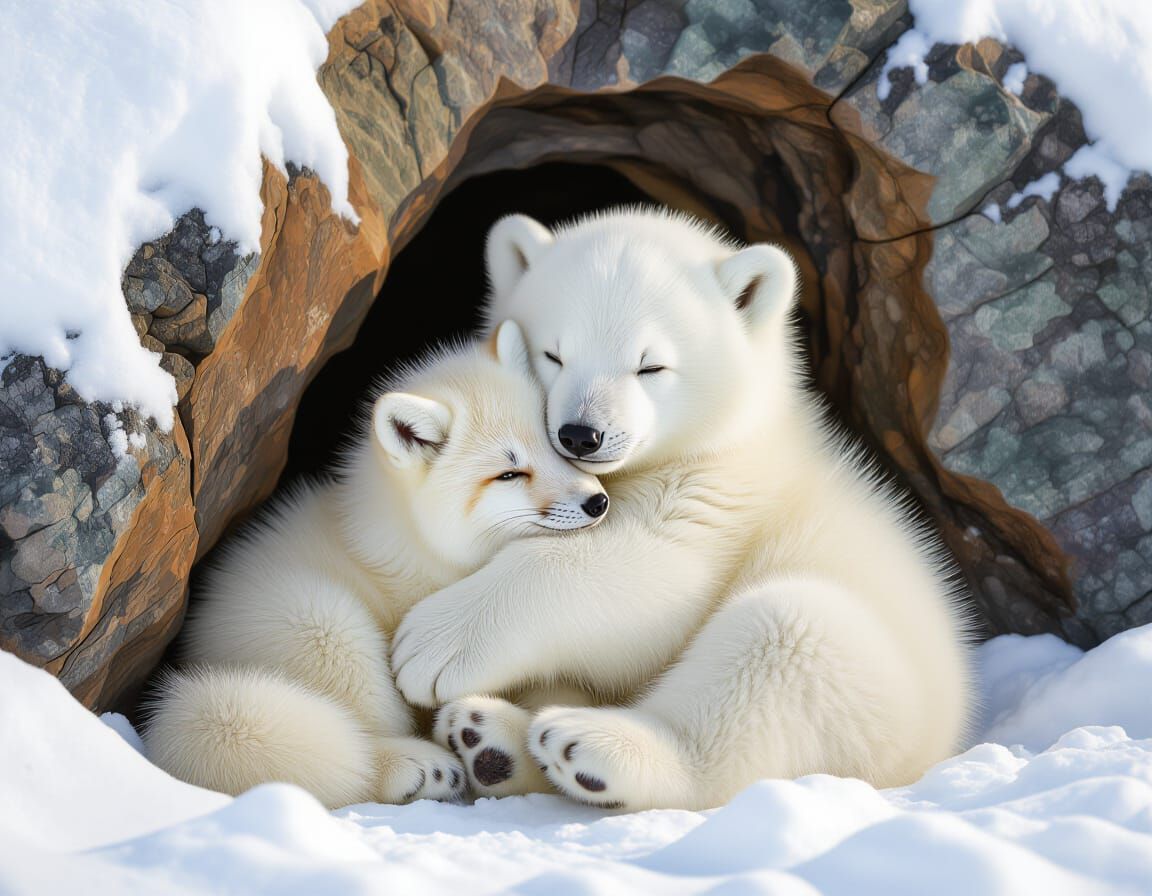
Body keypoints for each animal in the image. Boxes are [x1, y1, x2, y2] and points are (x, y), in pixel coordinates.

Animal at [143, 322, 610, 809]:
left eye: (554, 444)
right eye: (509, 474)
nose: (597, 502)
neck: (417, 543)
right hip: (329, 626)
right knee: (360, 749)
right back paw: (418, 768)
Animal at [390, 208, 974, 811]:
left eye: (650, 366)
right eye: (552, 354)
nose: (581, 434)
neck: (725, 438)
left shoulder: (721, 493)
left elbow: (653, 571)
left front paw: (430, 645)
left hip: (878, 693)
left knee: (785, 635)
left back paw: (591, 744)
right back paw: (488, 739)